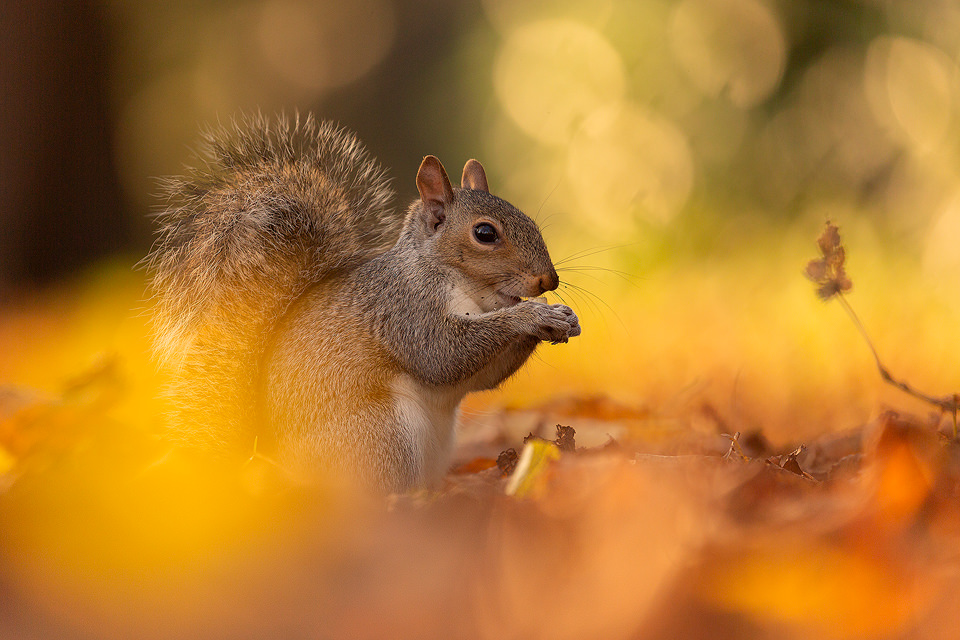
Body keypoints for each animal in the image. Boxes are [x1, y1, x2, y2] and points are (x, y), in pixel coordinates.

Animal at [147, 114, 580, 490]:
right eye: (485, 233)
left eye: (530, 220)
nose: (549, 280)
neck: (468, 288)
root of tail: (271, 470)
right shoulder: (404, 308)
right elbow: (441, 354)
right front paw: (530, 314)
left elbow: (483, 376)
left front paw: (561, 318)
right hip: (382, 436)